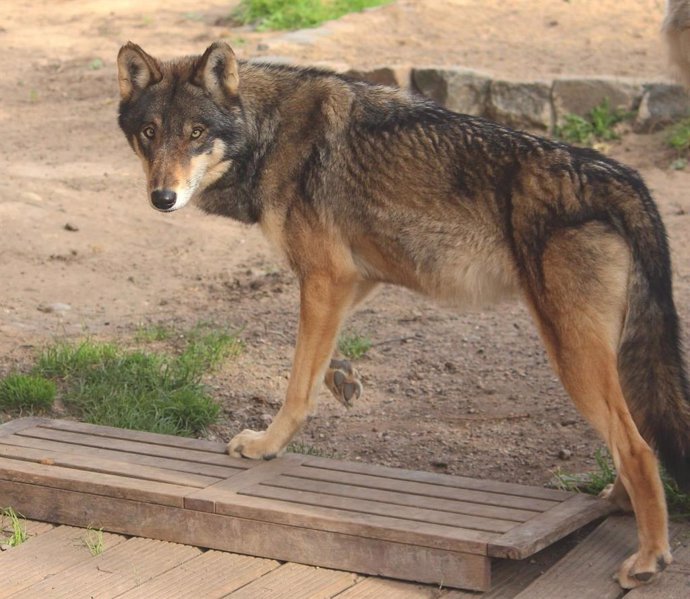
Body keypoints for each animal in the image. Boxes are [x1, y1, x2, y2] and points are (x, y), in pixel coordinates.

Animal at [118, 43, 688, 592]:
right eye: (150, 133)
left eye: (195, 133)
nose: (162, 197)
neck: (269, 132)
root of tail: (624, 178)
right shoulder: (354, 277)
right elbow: (313, 360)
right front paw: (342, 377)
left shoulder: (325, 276)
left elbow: (297, 384)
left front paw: (266, 445)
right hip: (608, 354)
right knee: (639, 436)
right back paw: (616, 504)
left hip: (572, 355)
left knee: (637, 447)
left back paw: (648, 559)